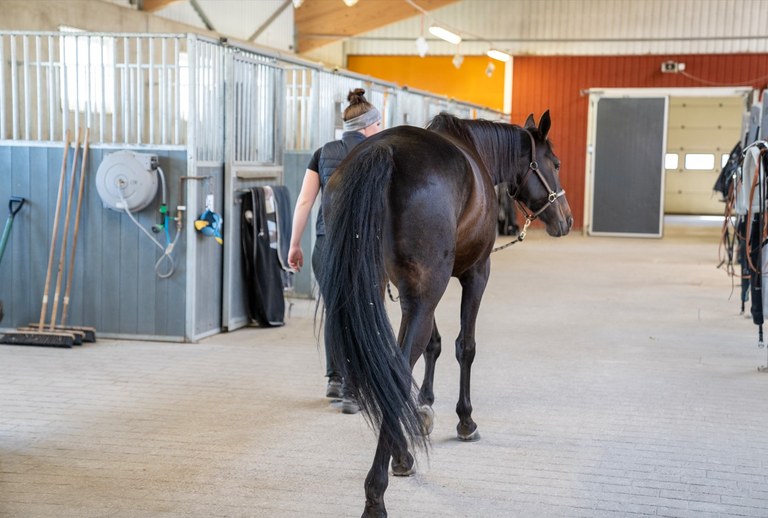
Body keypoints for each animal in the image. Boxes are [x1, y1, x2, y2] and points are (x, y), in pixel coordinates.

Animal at [319, 111, 572, 517]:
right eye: (557, 163)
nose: (566, 219)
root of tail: (382, 153)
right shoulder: (475, 273)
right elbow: (464, 347)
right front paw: (465, 420)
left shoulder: (415, 291)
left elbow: (433, 345)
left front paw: (423, 406)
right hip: (430, 288)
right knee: (396, 366)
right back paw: (379, 490)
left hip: (384, 289)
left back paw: (400, 455)